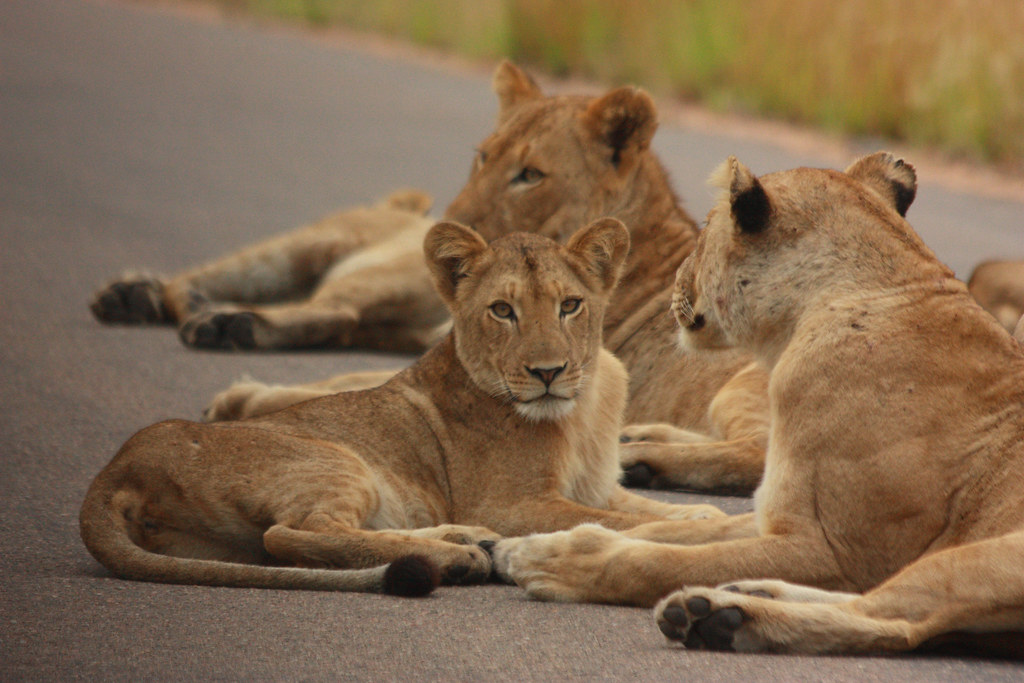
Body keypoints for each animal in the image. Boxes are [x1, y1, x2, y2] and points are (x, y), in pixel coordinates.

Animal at [77, 220, 720, 598]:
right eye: (502, 311)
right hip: (336, 460)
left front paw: (701, 514)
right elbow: (617, 521)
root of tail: (121, 465)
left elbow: (642, 506)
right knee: (291, 536)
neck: (582, 407)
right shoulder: (515, 505)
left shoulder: (595, 485)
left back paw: (464, 542)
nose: (547, 372)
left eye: (570, 305)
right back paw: (457, 559)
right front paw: (688, 527)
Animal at [199, 62, 770, 497]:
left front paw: (243, 401)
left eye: (530, 175)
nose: (445, 225)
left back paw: (643, 460)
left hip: (739, 386)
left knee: (757, 454)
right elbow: (353, 380)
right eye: (483, 157)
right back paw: (636, 438)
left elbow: (354, 384)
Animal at [489, 150, 1024, 655]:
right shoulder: (775, 520)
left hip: (993, 554)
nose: (675, 282)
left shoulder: (837, 553)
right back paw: (745, 590)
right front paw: (519, 543)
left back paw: (717, 615)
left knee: (893, 621)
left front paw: (554, 557)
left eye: (705, 230)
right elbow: (685, 531)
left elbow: (670, 558)